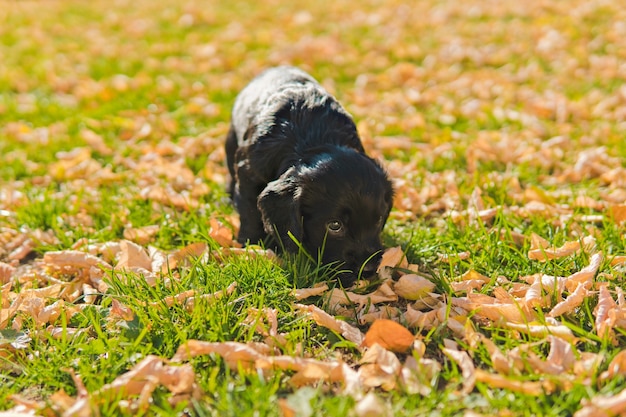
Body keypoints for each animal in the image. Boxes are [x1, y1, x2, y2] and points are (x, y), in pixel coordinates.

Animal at [223, 66, 390, 282]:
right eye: (334, 225)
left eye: (378, 220)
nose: (368, 270)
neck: (312, 137)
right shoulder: (249, 174)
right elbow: (250, 212)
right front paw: (251, 246)